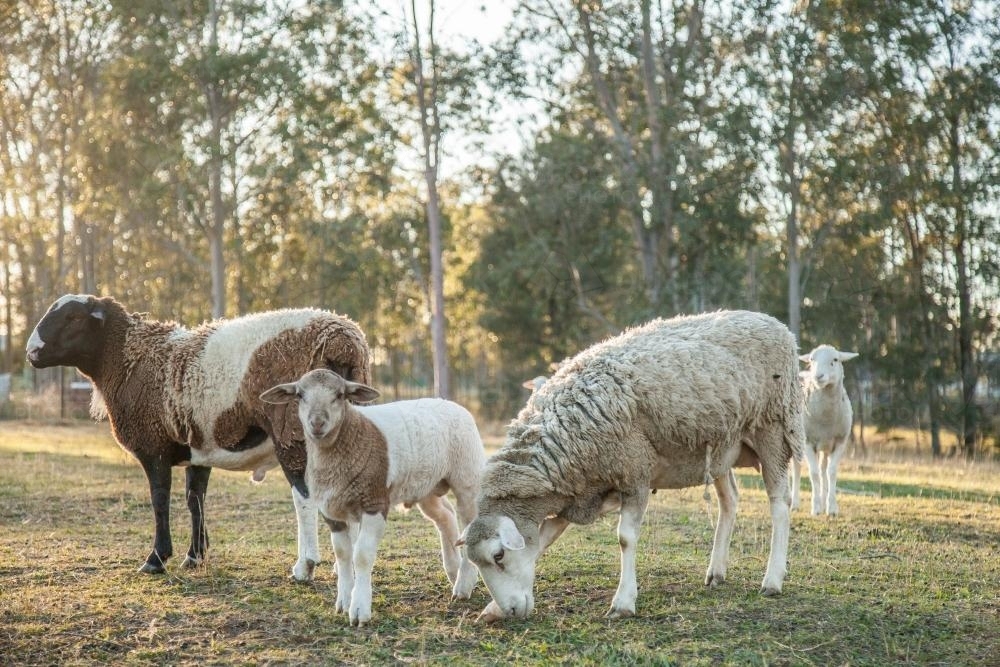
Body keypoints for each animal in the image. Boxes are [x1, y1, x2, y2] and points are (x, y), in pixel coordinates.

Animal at [26, 292, 372, 580]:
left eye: (72, 317)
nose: (31, 352)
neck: (128, 359)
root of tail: (342, 339)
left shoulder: (154, 448)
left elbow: (159, 500)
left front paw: (156, 559)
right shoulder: (198, 449)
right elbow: (196, 500)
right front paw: (194, 556)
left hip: (294, 433)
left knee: (304, 498)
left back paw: (305, 566)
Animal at [260, 368, 486, 628]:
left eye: (340, 395)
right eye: (299, 395)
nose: (317, 423)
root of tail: (449, 403)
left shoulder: (374, 502)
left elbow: (362, 556)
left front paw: (359, 609)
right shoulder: (331, 511)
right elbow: (343, 554)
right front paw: (343, 601)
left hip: (467, 478)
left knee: (469, 524)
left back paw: (464, 583)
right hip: (426, 486)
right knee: (445, 518)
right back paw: (454, 572)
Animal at [458, 310, 804, 624]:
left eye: (498, 555)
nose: (511, 611)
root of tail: (778, 325)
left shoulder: (634, 471)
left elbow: (625, 538)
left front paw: (623, 603)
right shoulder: (581, 492)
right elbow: (543, 541)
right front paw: (492, 609)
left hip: (773, 428)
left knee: (779, 504)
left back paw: (772, 580)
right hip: (722, 446)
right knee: (730, 500)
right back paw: (716, 572)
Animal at [788, 344, 860, 516]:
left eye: (835, 359)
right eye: (812, 359)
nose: (818, 376)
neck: (826, 418)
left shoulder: (840, 441)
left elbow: (831, 472)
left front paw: (831, 508)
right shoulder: (808, 442)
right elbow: (813, 474)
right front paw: (815, 508)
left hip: (825, 446)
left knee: (823, 469)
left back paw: (822, 500)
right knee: (797, 469)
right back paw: (795, 504)